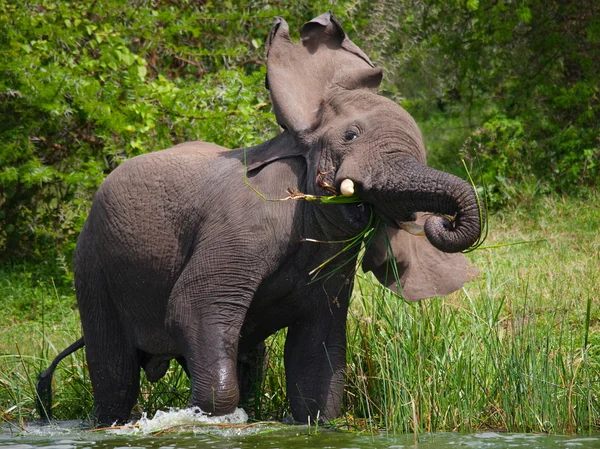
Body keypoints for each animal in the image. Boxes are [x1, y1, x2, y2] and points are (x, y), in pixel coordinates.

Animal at [36, 12, 482, 426]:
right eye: (351, 136)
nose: (440, 221)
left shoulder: (333, 268)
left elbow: (316, 357)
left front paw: (312, 422)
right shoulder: (243, 225)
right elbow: (192, 307)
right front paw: (214, 420)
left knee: (246, 358)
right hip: (92, 265)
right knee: (116, 374)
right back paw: (109, 421)